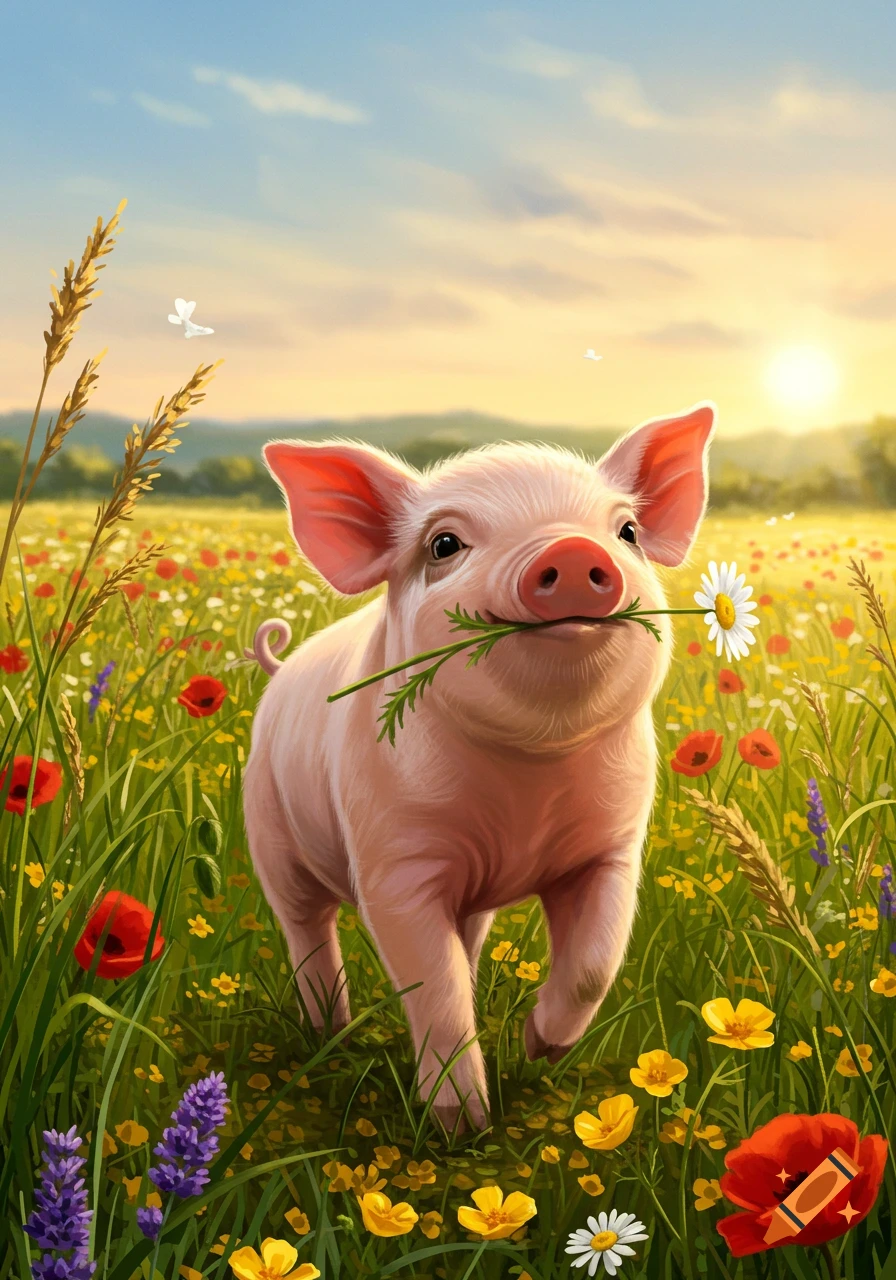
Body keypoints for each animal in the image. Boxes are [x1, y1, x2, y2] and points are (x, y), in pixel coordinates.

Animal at [243, 402, 715, 1130]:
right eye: (444, 544)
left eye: (627, 532)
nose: (572, 551)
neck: (528, 776)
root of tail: (281, 667)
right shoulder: (393, 863)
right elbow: (430, 988)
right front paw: (460, 1127)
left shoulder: (612, 847)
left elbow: (595, 962)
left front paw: (540, 1048)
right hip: (270, 833)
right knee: (307, 931)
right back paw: (330, 1033)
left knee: (462, 942)